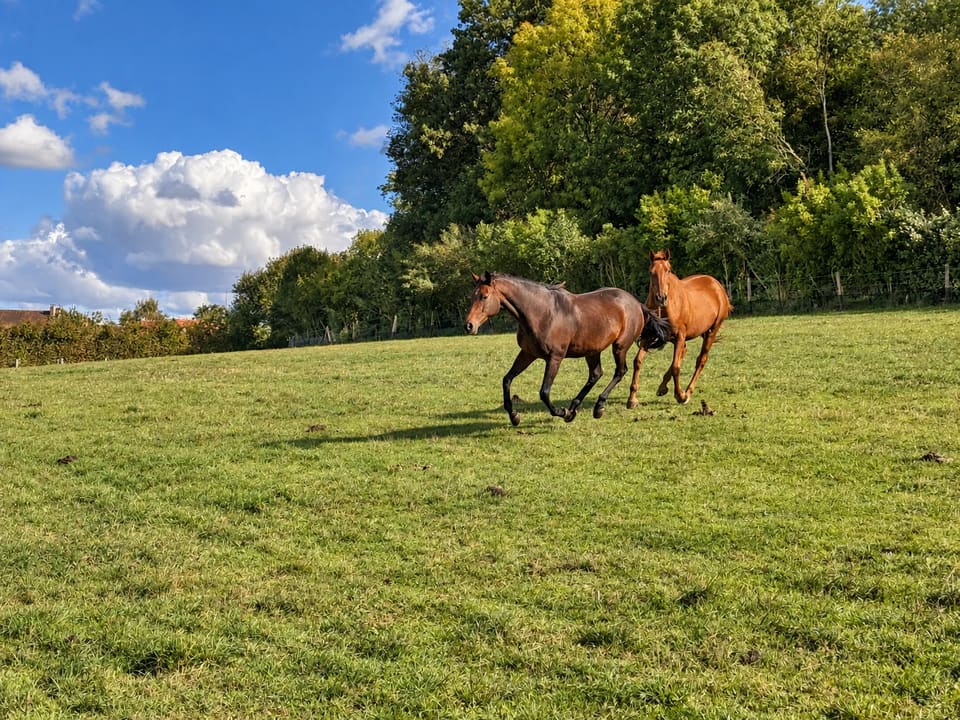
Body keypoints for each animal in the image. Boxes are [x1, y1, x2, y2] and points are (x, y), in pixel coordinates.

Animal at [465, 272, 670, 426]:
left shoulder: (555, 357)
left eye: (484, 296)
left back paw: (598, 407)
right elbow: (506, 380)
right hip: (592, 350)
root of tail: (637, 304)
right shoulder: (528, 353)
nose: (469, 326)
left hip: (619, 346)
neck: (541, 313)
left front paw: (561, 412)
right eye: (472, 296)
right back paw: (574, 408)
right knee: (596, 374)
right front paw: (515, 417)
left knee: (620, 371)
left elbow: (544, 392)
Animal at [627, 249, 732, 406]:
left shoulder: (679, 336)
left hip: (711, 331)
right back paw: (662, 387)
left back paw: (687, 391)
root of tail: (717, 286)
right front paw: (632, 399)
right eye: (650, 271)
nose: (661, 298)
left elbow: (676, 367)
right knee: (683, 352)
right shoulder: (649, 336)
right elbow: (638, 361)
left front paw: (680, 395)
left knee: (701, 360)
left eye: (668, 270)